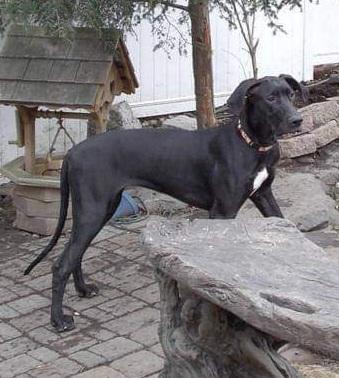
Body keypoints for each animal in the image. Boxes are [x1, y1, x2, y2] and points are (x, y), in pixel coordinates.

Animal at [24, 74, 306, 330]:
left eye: (290, 94)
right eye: (270, 98)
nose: (297, 120)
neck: (252, 144)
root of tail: (72, 152)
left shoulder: (264, 195)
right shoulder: (222, 211)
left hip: (100, 209)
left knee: (75, 253)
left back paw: (83, 289)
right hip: (93, 211)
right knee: (61, 264)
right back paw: (58, 320)